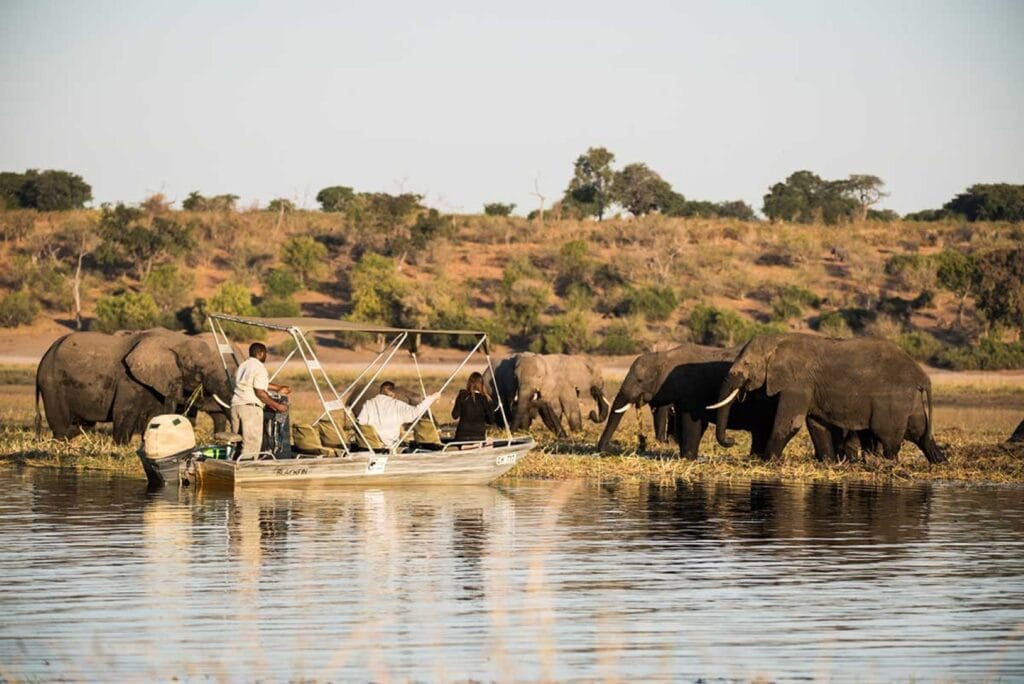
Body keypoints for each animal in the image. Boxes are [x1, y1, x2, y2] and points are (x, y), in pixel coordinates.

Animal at [36, 328, 237, 444]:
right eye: (198, 370)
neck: (176, 341)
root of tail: (45, 355)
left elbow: (155, 417)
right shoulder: (128, 379)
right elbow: (124, 414)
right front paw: (121, 447)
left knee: (80, 425)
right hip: (52, 384)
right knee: (61, 425)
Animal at [597, 344, 859, 460]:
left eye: (640, 380)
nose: (602, 451)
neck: (665, 356)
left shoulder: (692, 390)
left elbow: (692, 423)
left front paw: (689, 458)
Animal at [711, 333, 945, 464]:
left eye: (747, 364)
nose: (731, 441)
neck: (776, 341)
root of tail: (922, 375)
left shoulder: (797, 382)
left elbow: (790, 423)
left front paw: (768, 461)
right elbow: (817, 424)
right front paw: (828, 462)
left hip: (893, 399)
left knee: (888, 436)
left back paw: (889, 464)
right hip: (909, 399)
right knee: (919, 430)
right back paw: (940, 461)